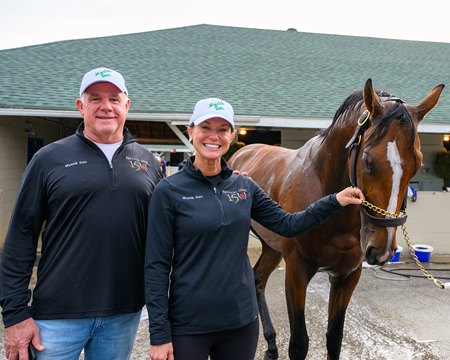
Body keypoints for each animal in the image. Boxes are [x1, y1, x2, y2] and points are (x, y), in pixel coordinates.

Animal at [229, 79, 442, 360]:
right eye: (367, 160)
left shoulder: (347, 275)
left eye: (417, 163)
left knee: (258, 279)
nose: (382, 250)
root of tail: (241, 153)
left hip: (271, 247)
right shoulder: (296, 271)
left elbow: (334, 338)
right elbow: (299, 343)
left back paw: (271, 344)